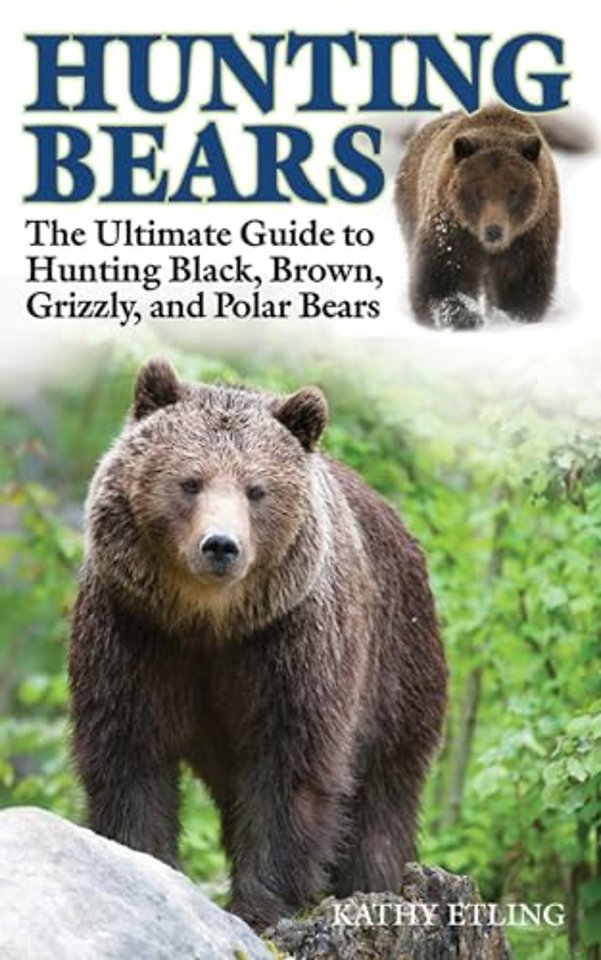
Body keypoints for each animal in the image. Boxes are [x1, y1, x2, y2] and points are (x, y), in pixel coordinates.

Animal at [68, 357, 447, 931]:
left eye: (256, 489)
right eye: (190, 482)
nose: (221, 545)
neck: (208, 622)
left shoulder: (291, 641)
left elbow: (289, 764)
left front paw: (263, 903)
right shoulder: (136, 630)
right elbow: (129, 747)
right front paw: (142, 859)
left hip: (399, 665)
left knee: (383, 798)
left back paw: (372, 884)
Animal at [395, 104, 562, 329]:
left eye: (513, 191)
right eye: (478, 191)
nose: (493, 231)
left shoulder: (529, 235)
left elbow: (520, 280)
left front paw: (513, 315)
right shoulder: (452, 228)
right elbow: (442, 277)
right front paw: (464, 316)